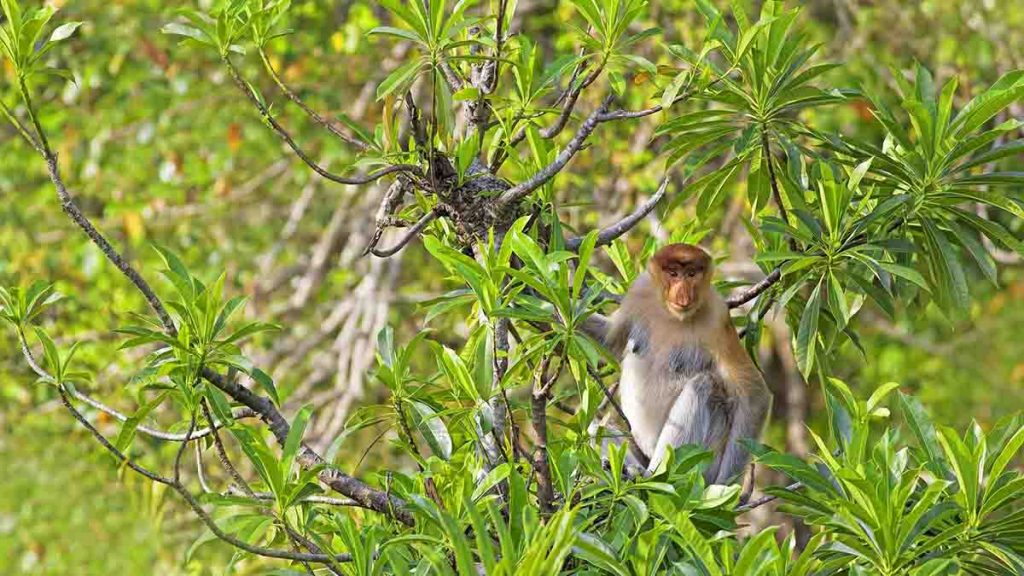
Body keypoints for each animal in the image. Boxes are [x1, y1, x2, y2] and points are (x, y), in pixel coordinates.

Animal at [585, 241, 770, 479]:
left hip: (705, 459)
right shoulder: (639, 291)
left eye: (691, 274)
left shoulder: (717, 317)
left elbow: (754, 394)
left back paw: (650, 475)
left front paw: (725, 483)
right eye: (673, 274)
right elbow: (610, 341)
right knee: (595, 428)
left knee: (703, 385)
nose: (683, 295)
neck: (672, 315)